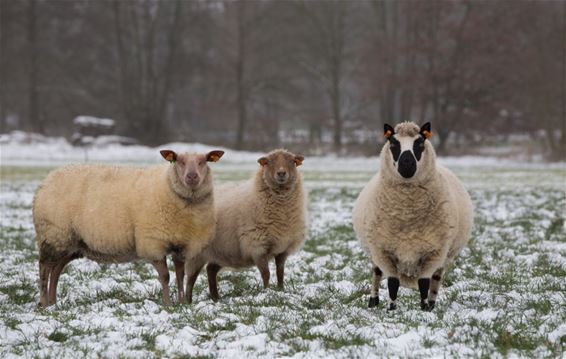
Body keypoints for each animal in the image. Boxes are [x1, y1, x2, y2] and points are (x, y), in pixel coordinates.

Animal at [32, 150, 224, 308]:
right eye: (179, 161)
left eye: (203, 161)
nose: (192, 177)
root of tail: (45, 182)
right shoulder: (153, 243)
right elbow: (165, 277)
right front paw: (168, 304)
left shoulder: (181, 245)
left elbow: (180, 274)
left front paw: (182, 303)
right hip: (53, 235)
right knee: (44, 268)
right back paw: (44, 302)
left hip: (71, 242)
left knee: (56, 269)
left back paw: (53, 302)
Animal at [184, 148, 308, 302]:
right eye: (268, 162)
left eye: (292, 161)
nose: (281, 173)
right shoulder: (257, 245)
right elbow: (266, 273)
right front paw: (266, 292)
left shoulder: (283, 249)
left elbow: (280, 272)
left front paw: (281, 290)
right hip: (197, 253)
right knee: (191, 278)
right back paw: (188, 301)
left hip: (222, 251)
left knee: (210, 270)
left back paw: (216, 298)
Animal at [356, 122, 474, 310]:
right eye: (393, 143)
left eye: (420, 143)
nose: (407, 163)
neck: (407, 214)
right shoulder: (383, 250)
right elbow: (392, 282)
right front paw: (391, 309)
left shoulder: (433, 252)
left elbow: (424, 283)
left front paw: (424, 308)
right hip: (374, 252)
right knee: (376, 274)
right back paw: (373, 301)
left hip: (445, 256)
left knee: (436, 279)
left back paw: (432, 303)